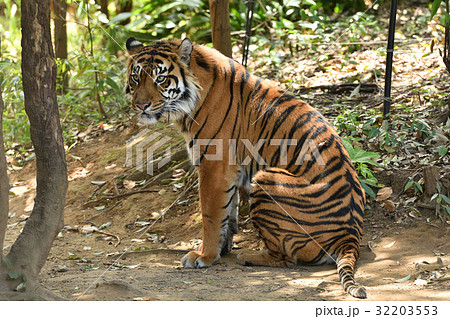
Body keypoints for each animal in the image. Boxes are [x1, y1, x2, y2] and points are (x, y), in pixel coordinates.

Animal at [125, 37, 368, 300]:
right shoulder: (228, 173)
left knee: (288, 258)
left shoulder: (214, 165)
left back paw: (249, 256)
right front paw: (221, 249)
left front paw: (204, 256)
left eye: (160, 79)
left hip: (266, 179)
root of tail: (350, 235)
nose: (141, 105)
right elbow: (227, 212)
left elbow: (210, 215)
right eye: (136, 78)